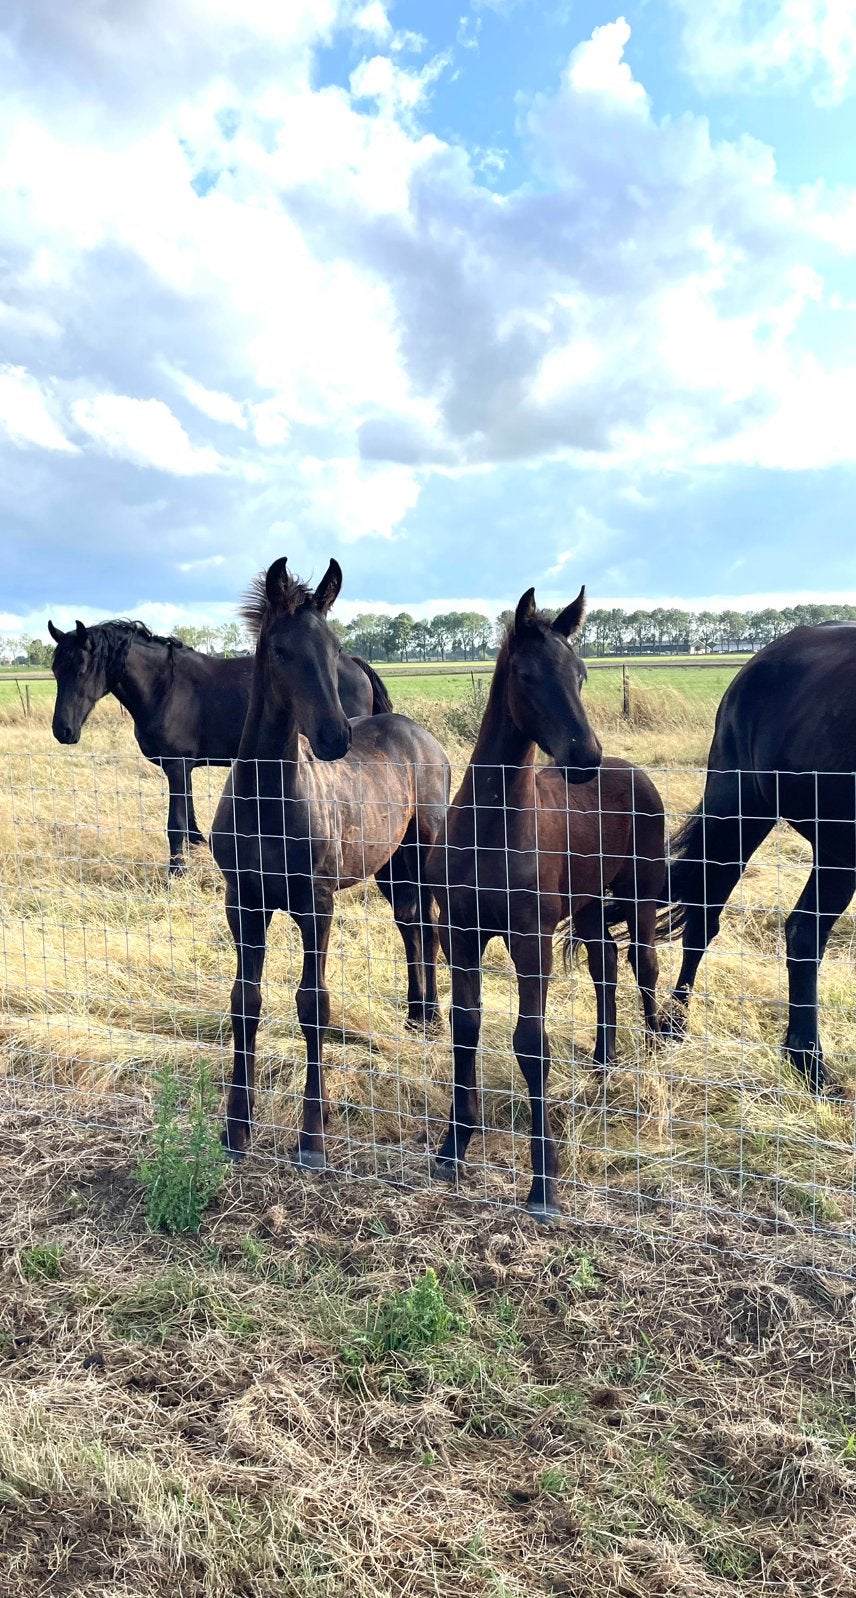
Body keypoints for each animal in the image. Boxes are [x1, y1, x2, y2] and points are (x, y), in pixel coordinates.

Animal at [47, 616, 391, 874]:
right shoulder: (182, 769)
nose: (63, 730)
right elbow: (191, 821)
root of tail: (355, 664)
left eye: (81, 669)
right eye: (55, 670)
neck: (165, 687)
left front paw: (176, 873)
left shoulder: (177, 766)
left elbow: (176, 824)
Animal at [209, 556, 451, 1164]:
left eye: (334, 645)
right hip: (388, 866)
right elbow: (244, 1000)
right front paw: (236, 1129)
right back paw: (415, 1014)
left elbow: (312, 1004)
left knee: (433, 923)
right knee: (411, 923)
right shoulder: (242, 903)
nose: (334, 737)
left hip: (425, 854)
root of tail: (421, 735)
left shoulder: (315, 905)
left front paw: (312, 1137)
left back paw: (435, 1018)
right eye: (280, 650)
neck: (267, 800)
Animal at [425, 585, 667, 1219]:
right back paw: (603, 1060)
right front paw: (453, 1146)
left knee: (645, 963)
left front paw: (544, 1183)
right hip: (586, 907)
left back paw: (654, 1051)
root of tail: (631, 770)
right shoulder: (460, 936)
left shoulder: (529, 941)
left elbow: (531, 1046)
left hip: (640, 892)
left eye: (581, 674)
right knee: (606, 961)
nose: (583, 757)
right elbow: (465, 1025)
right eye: (529, 675)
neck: (493, 829)